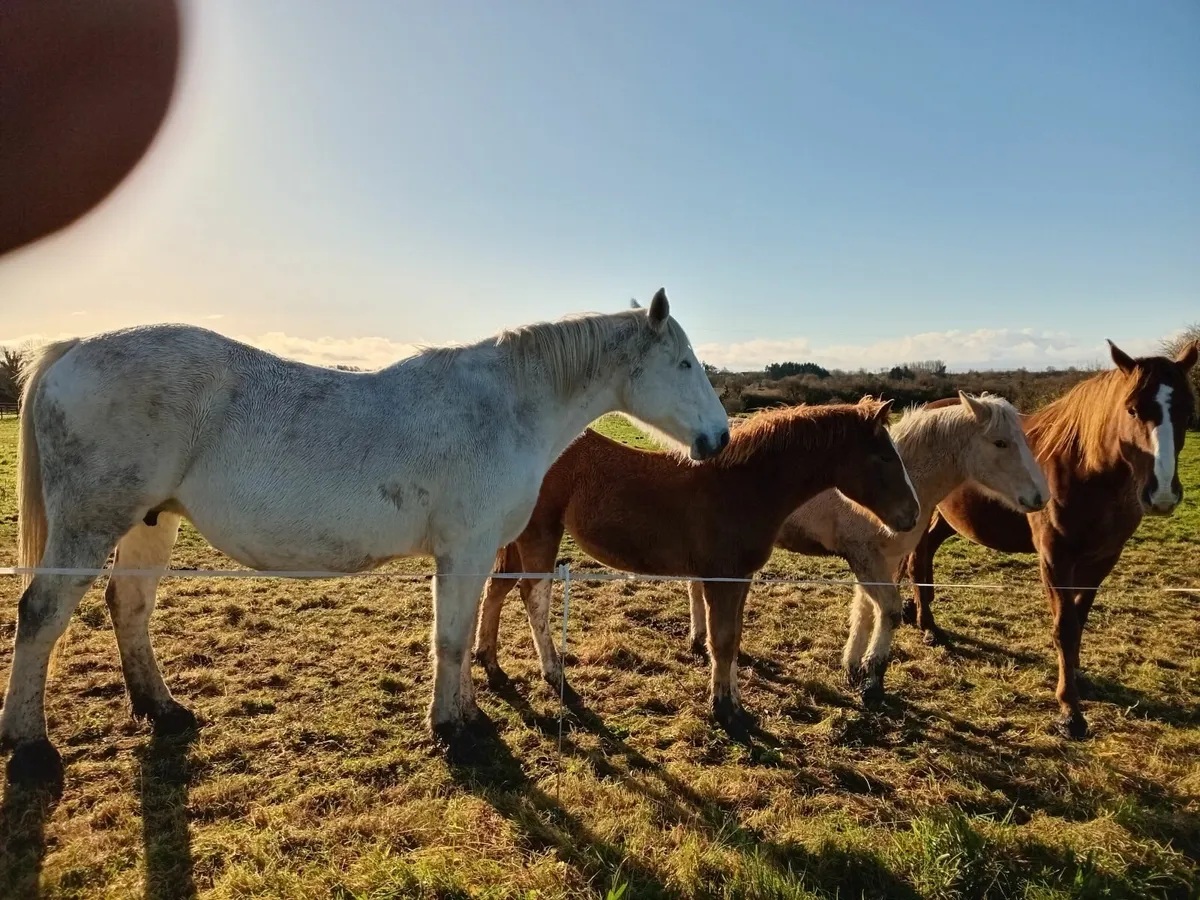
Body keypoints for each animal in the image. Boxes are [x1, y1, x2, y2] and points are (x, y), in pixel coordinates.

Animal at [1, 289, 731, 787]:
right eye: (685, 363)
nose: (719, 439)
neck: (502, 407)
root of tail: (77, 346)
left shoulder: (470, 555)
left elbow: (464, 633)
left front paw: (470, 714)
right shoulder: (465, 549)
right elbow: (451, 640)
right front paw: (451, 730)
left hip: (150, 522)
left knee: (129, 608)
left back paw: (162, 709)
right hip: (90, 524)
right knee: (40, 614)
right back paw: (29, 747)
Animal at [474, 398, 921, 731]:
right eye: (884, 456)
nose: (912, 515)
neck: (744, 486)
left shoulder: (740, 577)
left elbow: (733, 639)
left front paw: (734, 703)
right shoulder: (720, 576)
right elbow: (720, 641)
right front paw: (724, 710)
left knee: (497, 587)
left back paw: (489, 662)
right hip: (539, 533)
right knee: (534, 597)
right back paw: (555, 675)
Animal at [685, 391, 1048, 702]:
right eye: (1000, 442)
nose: (1040, 497)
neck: (908, 479)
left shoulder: (883, 560)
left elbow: (865, 610)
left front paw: (853, 666)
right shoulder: (865, 557)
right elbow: (887, 611)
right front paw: (873, 677)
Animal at [901, 340, 1198, 738]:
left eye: (1187, 410)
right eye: (1133, 409)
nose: (1162, 493)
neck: (1086, 468)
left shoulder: (1102, 559)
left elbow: (1079, 620)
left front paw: (1077, 681)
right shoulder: (1056, 557)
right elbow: (1065, 628)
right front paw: (1070, 711)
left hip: (952, 519)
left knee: (927, 550)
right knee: (918, 558)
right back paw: (929, 628)